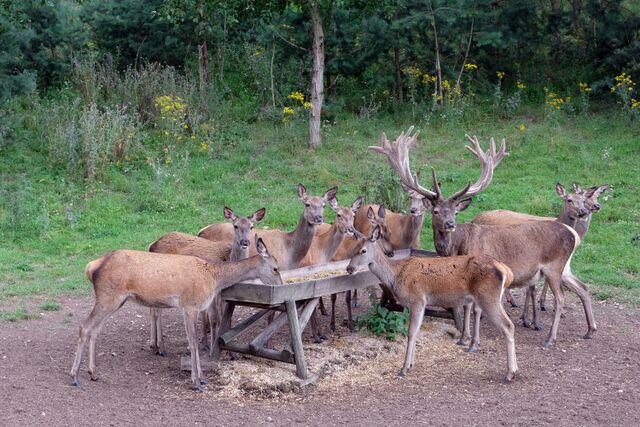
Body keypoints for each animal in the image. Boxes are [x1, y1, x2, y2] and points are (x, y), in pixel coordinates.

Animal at [70, 237, 283, 392]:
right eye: (275, 268)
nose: (281, 286)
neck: (214, 278)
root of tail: (91, 267)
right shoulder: (189, 306)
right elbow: (193, 343)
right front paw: (196, 382)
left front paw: (202, 378)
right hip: (108, 297)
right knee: (84, 327)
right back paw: (74, 376)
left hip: (116, 300)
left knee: (95, 330)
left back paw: (93, 373)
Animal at [147, 207, 265, 356]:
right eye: (235, 226)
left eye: (251, 226)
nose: (245, 242)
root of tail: (152, 245)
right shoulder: (214, 292)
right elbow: (215, 319)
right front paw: (212, 348)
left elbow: (227, 320)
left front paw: (230, 353)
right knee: (157, 311)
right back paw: (161, 347)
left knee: (153, 309)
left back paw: (154, 346)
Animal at [346, 225, 518, 382]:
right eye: (353, 248)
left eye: (363, 251)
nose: (349, 268)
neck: (396, 275)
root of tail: (506, 271)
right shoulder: (421, 304)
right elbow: (416, 332)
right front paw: (411, 364)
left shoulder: (417, 300)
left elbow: (411, 332)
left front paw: (403, 369)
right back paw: (514, 369)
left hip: (489, 297)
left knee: (508, 325)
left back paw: (509, 373)